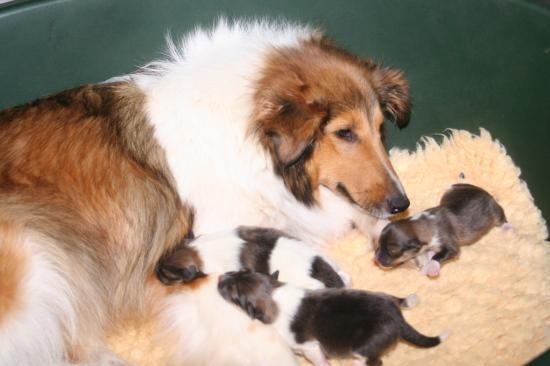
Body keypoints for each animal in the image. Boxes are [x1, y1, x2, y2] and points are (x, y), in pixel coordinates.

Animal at [219, 268, 448, 366]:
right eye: (241, 270)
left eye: (233, 293)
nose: (220, 277)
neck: (272, 293)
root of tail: (398, 319)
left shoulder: (311, 348)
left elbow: (319, 361)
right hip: (383, 297)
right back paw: (409, 299)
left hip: (364, 348)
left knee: (374, 361)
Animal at [378, 184, 512, 276]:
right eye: (379, 244)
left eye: (392, 251)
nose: (377, 260)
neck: (418, 224)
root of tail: (486, 192)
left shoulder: (450, 243)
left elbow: (439, 256)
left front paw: (431, 267)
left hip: (494, 211)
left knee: (502, 218)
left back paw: (508, 227)